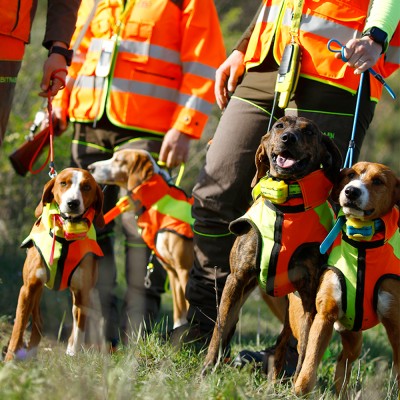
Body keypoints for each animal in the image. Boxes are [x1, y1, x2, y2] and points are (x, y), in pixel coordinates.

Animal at [4, 167, 104, 360]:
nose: (73, 203)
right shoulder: (28, 288)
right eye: (63, 183)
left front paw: (73, 355)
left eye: (87, 187)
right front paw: (9, 359)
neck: (66, 233)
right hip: (35, 291)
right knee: (38, 321)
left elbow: (79, 331)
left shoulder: (83, 292)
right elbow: (19, 327)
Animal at [88, 148, 195, 330]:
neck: (160, 200)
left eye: (119, 160)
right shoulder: (173, 272)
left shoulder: (185, 270)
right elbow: (179, 313)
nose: (90, 167)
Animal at [203, 116, 340, 378]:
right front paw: (206, 368)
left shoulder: (308, 294)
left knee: (286, 340)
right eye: (279, 126)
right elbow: (220, 328)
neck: (286, 208)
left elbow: (306, 347)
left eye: (309, 131)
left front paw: (299, 380)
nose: (288, 138)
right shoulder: (237, 278)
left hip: (292, 303)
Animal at [294, 161, 400, 396]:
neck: (362, 244)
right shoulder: (325, 315)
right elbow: (310, 363)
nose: (351, 191)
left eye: (378, 181)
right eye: (351, 174)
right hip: (351, 334)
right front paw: (299, 391)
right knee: (343, 358)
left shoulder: (396, 323)